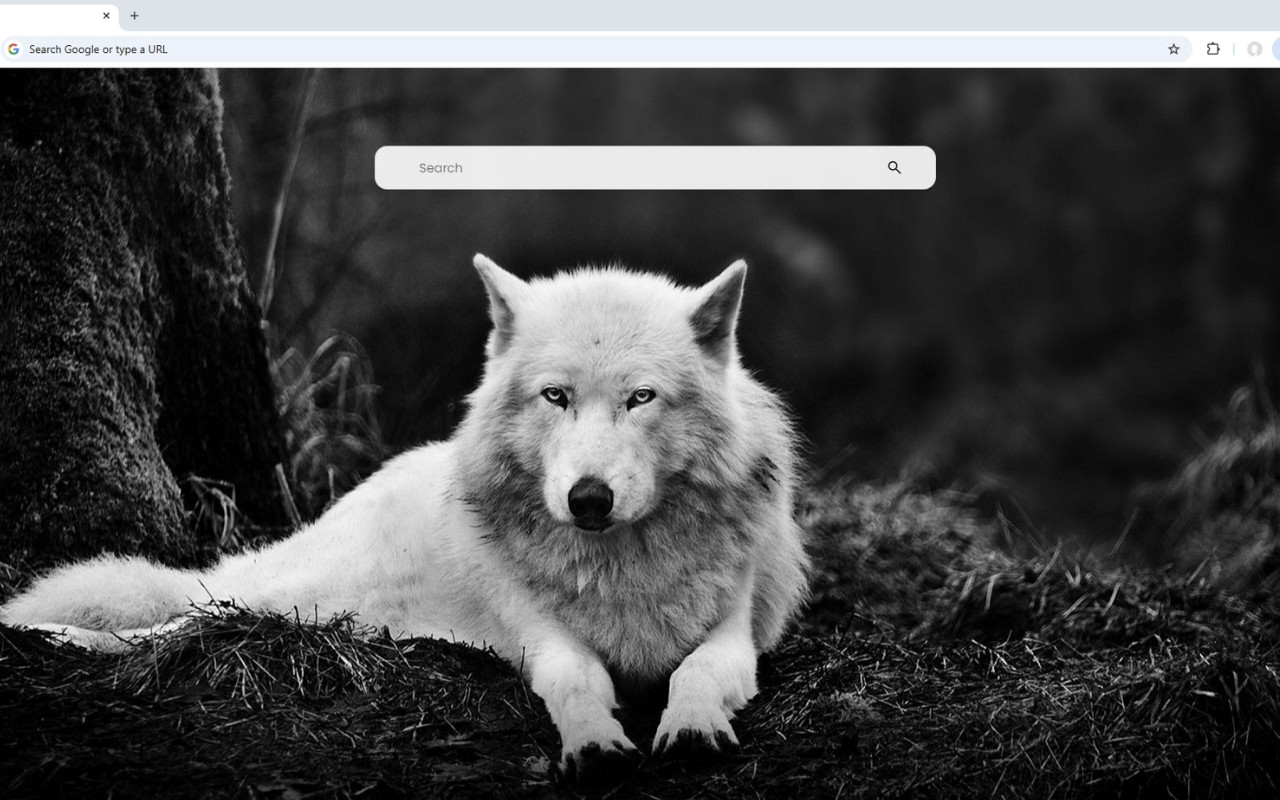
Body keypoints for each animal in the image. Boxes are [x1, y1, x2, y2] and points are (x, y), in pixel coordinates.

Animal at [1, 254, 809, 789]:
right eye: (556, 396)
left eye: (641, 398)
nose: (588, 499)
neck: (619, 566)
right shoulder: (543, 639)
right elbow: (576, 681)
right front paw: (593, 742)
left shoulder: (734, 635)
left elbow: (697, 671)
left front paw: (692, 726)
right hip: (290, 599)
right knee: (178, 618)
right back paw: (47, 633)